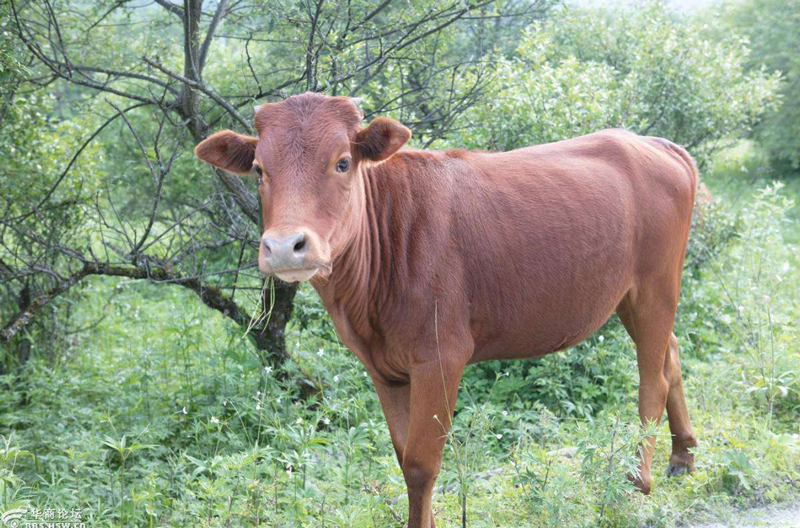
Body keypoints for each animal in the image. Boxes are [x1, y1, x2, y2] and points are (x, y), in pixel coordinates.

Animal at [195, 93, 700, 524]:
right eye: (259, 170)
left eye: (342, 162)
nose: (285, 247)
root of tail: (650, 143)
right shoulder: (382, 367)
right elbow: (403, 457)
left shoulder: (441, 355)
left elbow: (422, 463)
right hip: (630, 296)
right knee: (672, 355)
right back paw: (684, 456)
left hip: (655, 286)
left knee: (651, 380)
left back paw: (639, 480)